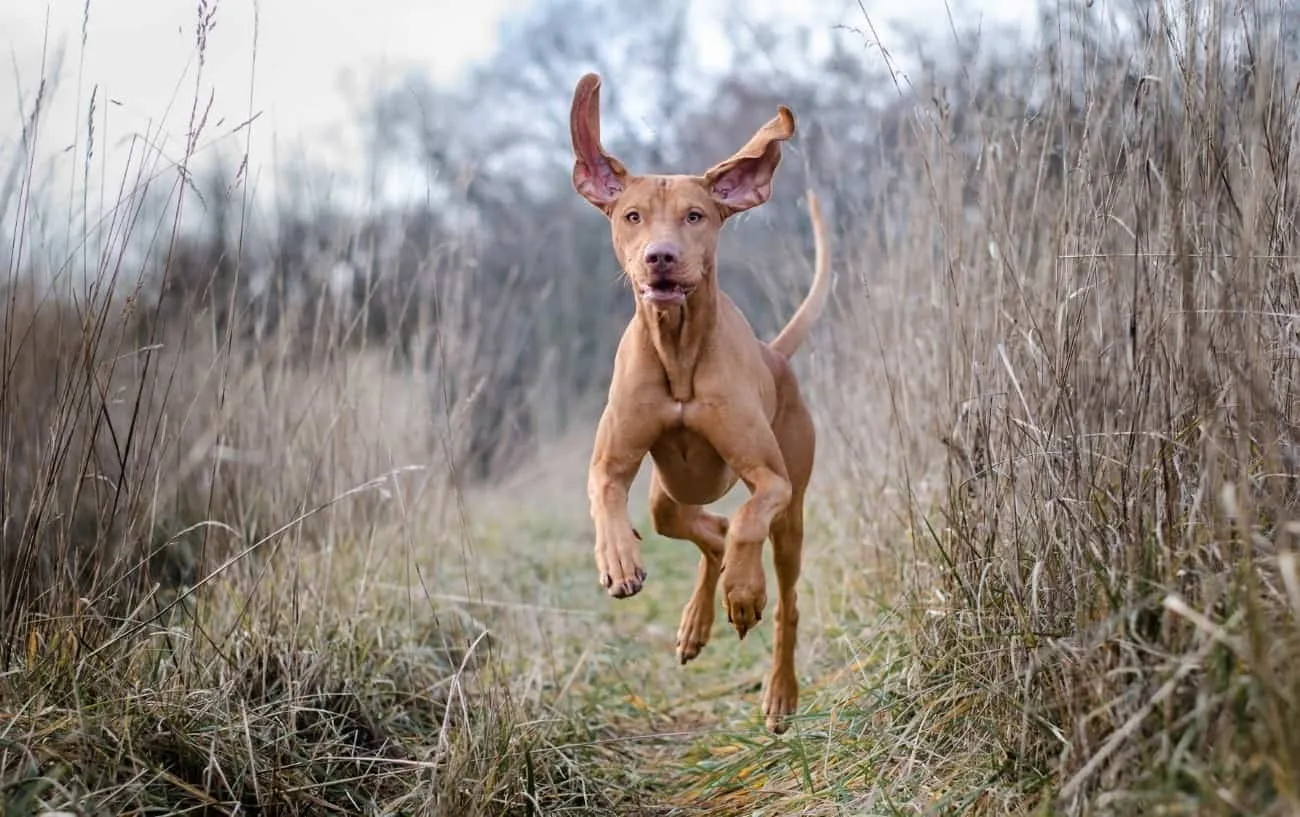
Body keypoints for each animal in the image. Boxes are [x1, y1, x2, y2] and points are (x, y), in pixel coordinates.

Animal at [572, 71, 832, 733]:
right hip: (669, 495)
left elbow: (749, 520)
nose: (659, 257)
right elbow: (607, 497)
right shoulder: (611, 464)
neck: (678, 351)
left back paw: (777, 684)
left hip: (793, 516)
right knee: (703, 530)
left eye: (696, 216)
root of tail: (775, 354)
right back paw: (696, 620)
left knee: (779, 589)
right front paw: (618, 561)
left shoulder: (772, 480)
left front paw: (744, 592)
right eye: (632, 216)